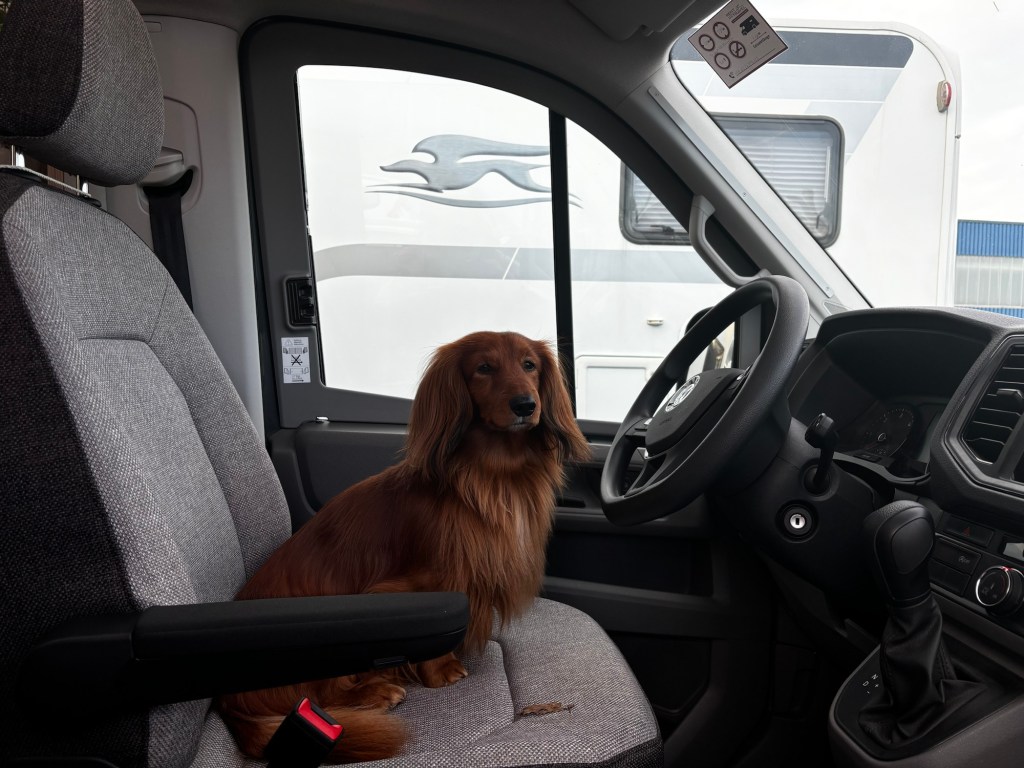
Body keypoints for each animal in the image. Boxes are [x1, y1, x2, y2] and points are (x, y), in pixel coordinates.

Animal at [219, 331, 590, 762]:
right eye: (484, 368)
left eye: (529, 365)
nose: (526, 405)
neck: (493, 472)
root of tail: (228, 704)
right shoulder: (418, 586)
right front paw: (442, 670)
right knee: (316, 695)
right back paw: (375, 691)